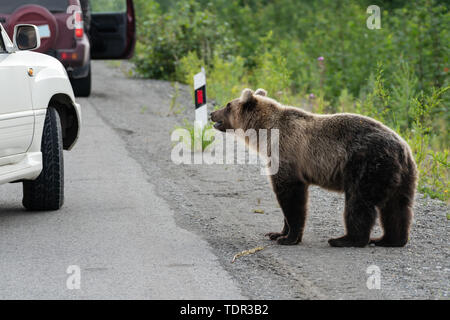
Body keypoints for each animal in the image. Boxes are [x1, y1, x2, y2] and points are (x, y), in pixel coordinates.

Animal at [211, 88, 418, 248]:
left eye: (228, 105)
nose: (212, 113)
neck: (264, 134)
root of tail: (403, 148)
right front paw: (277, 233)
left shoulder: (286, 155)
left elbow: (291, 198)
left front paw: (288, 238)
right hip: (401, 175)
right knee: (397, 207)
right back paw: (389, 239)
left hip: (366, 165)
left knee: (359, 203)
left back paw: (345, 240)